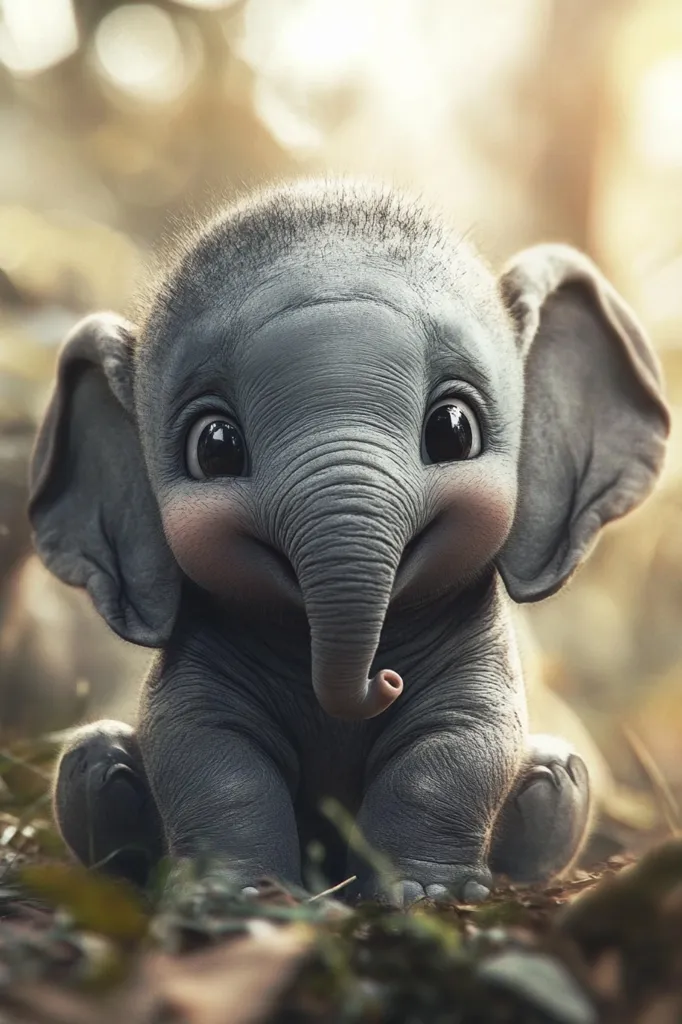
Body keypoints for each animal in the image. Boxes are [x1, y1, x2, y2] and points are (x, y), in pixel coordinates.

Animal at [27, 180, 670, 905]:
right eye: (215, 446)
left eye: (453, 430)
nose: (382, 678)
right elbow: (203, 747)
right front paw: (241, 895)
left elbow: (460, 742)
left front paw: (420, 896)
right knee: (92, 757)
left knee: (558, 771)